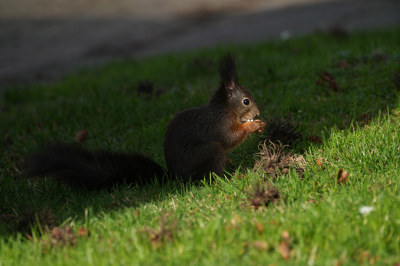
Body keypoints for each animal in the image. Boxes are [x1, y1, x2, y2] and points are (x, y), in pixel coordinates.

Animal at [24, 54, 266, 190]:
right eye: (246, 101)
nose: (257, 111)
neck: (226, 107)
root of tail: (174, 178)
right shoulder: (219, 124)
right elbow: (229, 138)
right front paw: (253, 125)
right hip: (208, 153)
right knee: (209, 170)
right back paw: (227, 176)